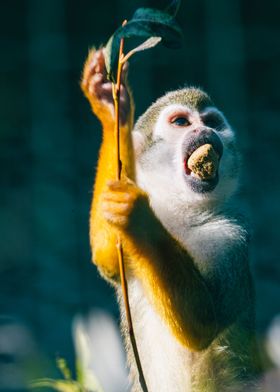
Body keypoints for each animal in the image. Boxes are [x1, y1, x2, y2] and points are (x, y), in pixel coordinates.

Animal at [81, 49, 262, 392]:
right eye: (181, 122)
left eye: (213, 122)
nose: (205, 131)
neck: (184, 216)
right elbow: (107, 257)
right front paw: (112, 112)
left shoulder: (232, 236)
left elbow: (201, 324)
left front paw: (138, 217)